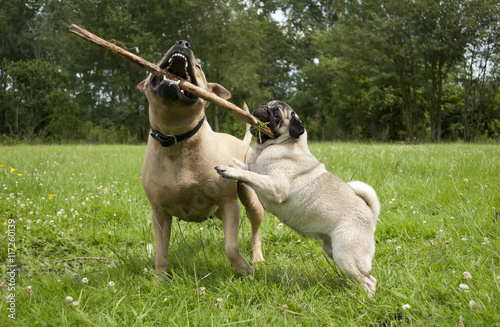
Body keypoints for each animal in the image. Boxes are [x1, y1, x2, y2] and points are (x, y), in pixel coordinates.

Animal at [135, 40, 264, 276]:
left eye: (199, 66)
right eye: (159, 56)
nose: (182, 42)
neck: (176, 138)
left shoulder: (229, 202)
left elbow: (231, 247)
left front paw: (245, 269)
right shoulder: (159, 213)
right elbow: (160, 251)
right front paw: (160, 279)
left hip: (251, 201)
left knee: (254, 231)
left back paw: (256, 258)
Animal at [215, 101, 378, 298]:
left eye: (276, 114)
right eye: (265, 104)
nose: (262, 108)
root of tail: (370, 212)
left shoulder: (275, 185)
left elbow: (250, 174)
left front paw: (229, 170)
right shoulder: (257, 169)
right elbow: (247, 167)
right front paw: (234, 164)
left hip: (346, 254)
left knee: (369, 281)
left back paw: (366, 299)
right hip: (331, 249)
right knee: (364, 277)